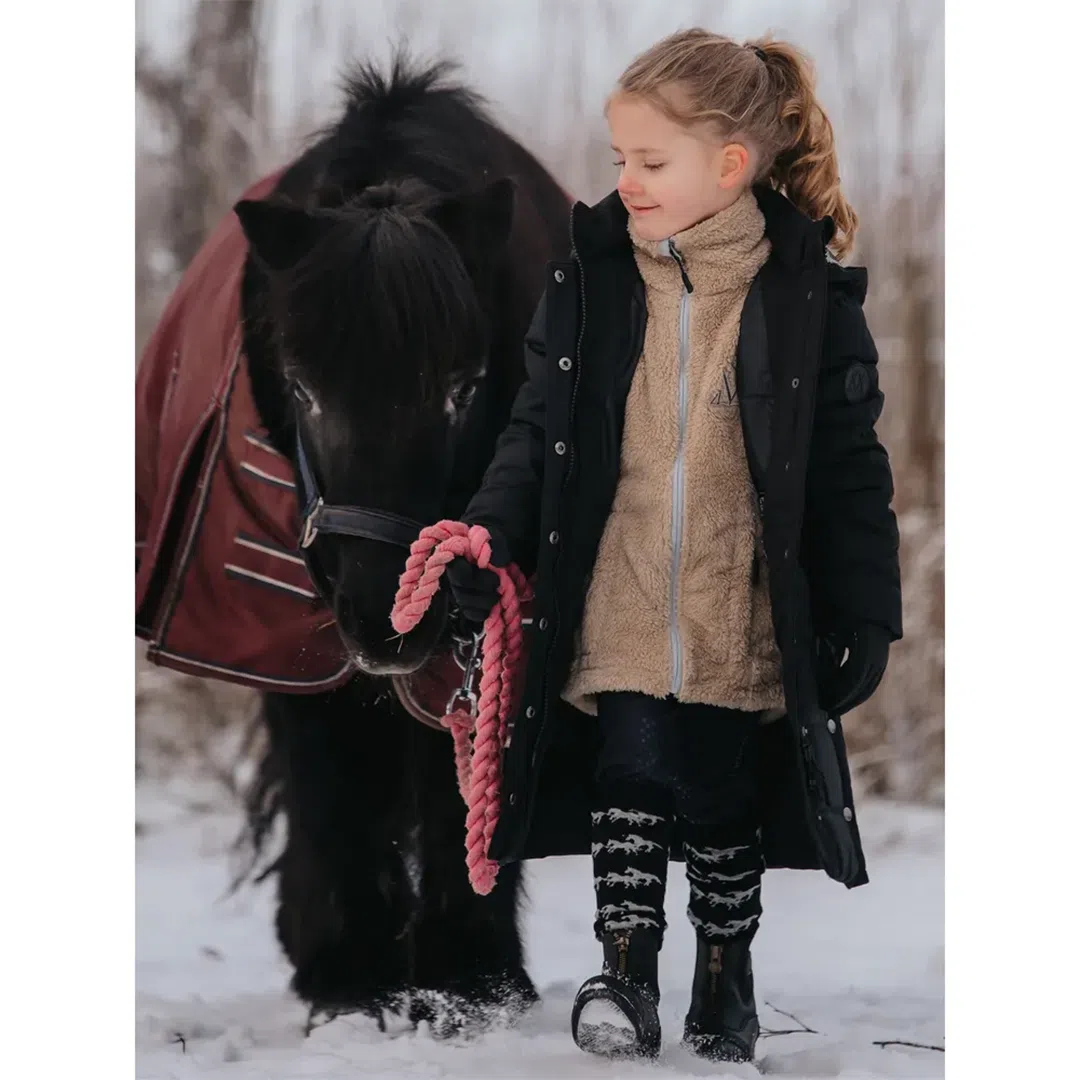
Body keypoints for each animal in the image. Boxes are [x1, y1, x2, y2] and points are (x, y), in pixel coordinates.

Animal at [220, 56, 570, 1030]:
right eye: (302, 386)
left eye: (464, 384)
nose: (388, 617)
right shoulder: (296, 637)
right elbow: (326, 773)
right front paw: (347, 976)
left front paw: (471, 982)